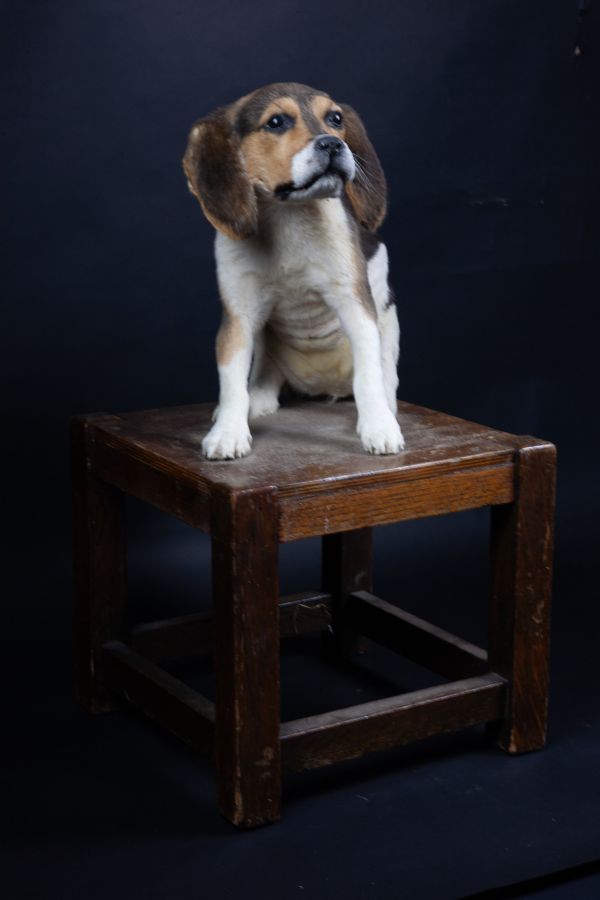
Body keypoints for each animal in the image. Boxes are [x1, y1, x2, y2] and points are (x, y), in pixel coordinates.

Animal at [183, 81, 404, 460]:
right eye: (276, 122)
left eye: (335, 118)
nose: (333, 144)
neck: (290, 214)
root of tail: (324, 386)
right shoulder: (239, 315)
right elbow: (231, 378)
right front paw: (228, 431)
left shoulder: (356, 305)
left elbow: (369, 375)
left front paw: (378, 426)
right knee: (261, 374)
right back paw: (257, 399)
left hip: (388, 321)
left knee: (385, 372)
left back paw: (387, 407)